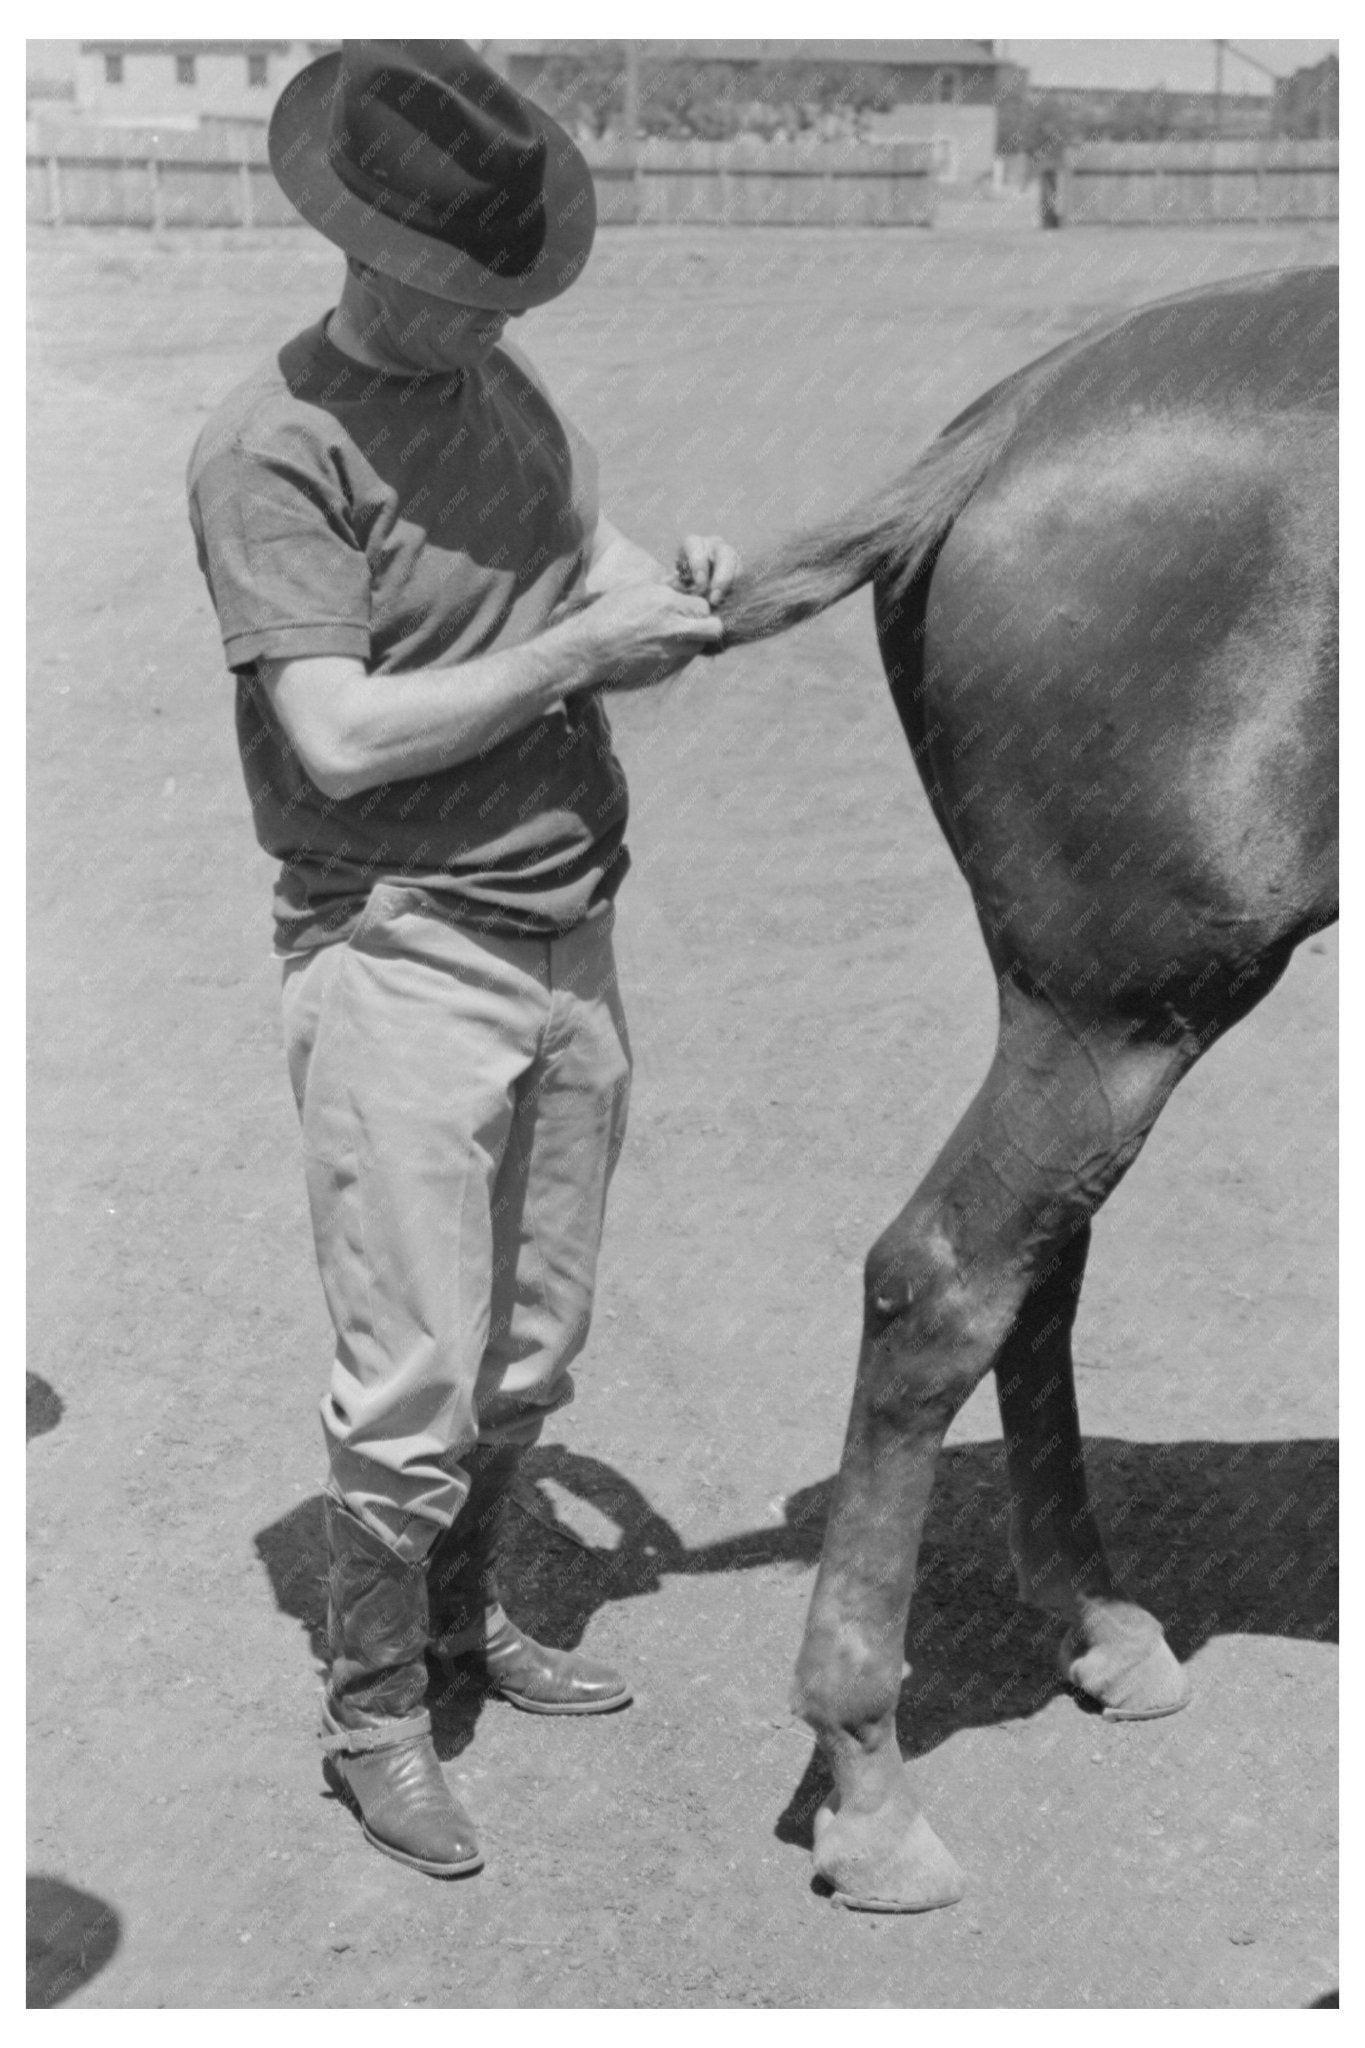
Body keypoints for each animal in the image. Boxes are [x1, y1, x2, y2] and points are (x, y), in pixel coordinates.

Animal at [713, 265, 1338, 1913]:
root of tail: (1011, 424)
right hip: (1122, 1011)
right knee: (944, 1279)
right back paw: (869, 1780)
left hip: (1084, 1029)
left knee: (1030, 1274)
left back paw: (1095, 1623)